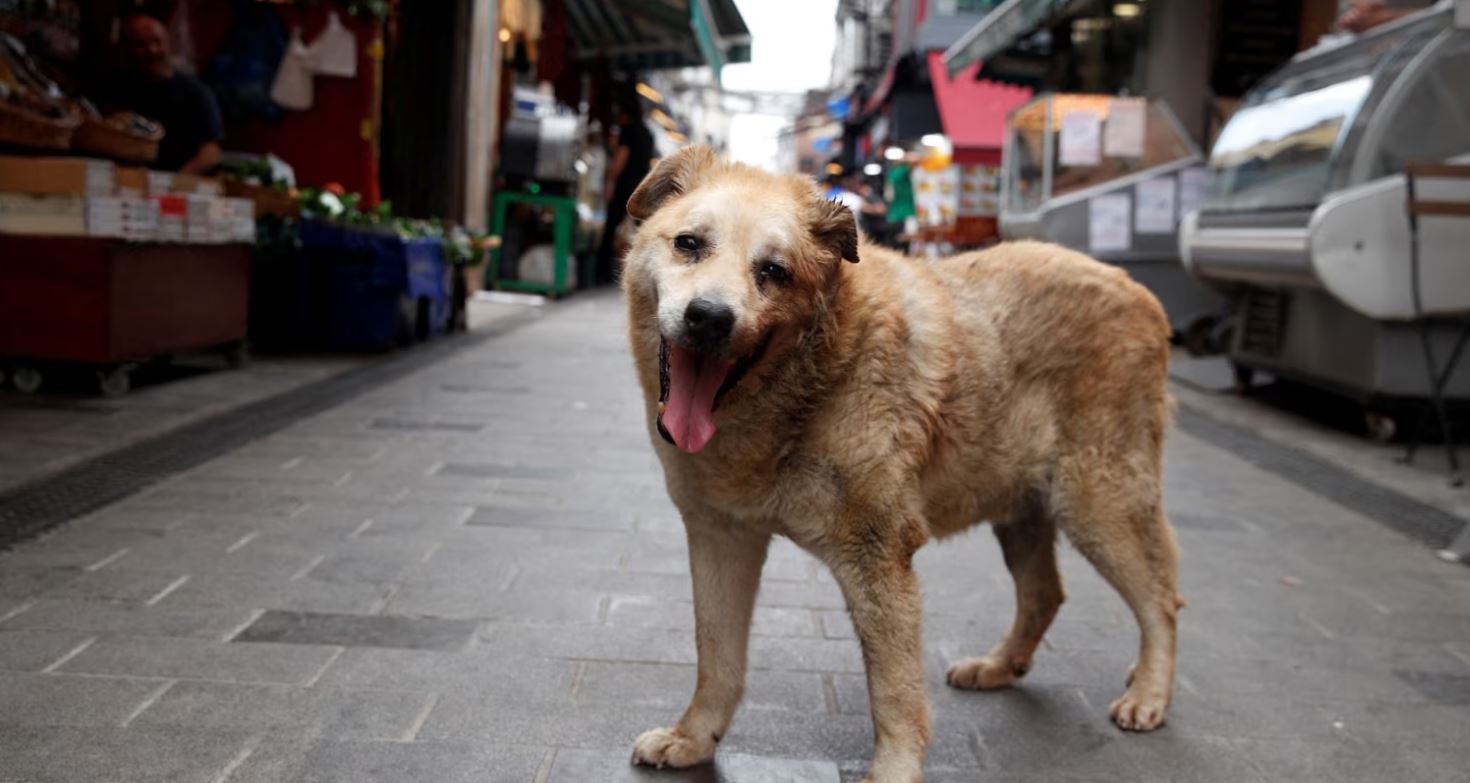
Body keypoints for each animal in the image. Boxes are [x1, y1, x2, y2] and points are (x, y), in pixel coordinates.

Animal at [620, 148, 1181, 781]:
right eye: (688, 244)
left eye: (774, 271)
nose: (710, 318)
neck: (810, 382)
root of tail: (1139, 291)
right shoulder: (721, 536)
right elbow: (716, 654)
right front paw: (694, 738)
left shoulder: (879, 554)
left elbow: (894, 691)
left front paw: (893, 770)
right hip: (1022, 510)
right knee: (1045, 596)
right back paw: (999, 666)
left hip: (1098, 506)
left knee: (1162, 601)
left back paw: (1149, 694)